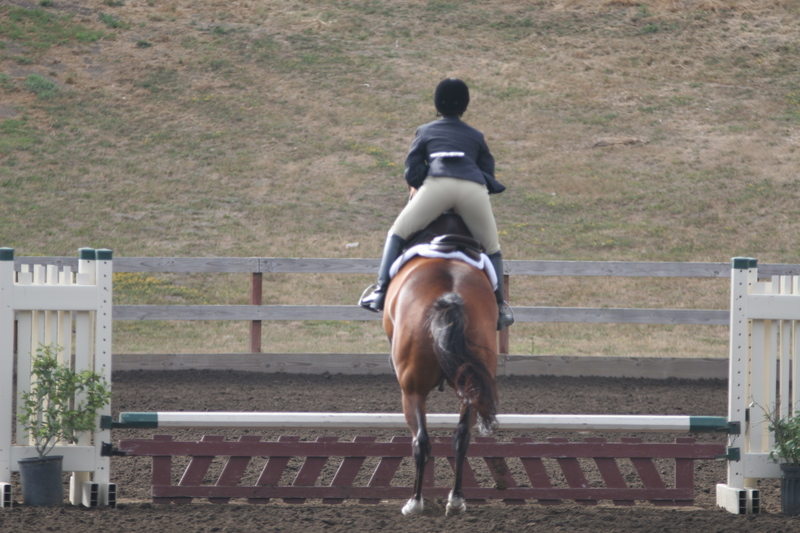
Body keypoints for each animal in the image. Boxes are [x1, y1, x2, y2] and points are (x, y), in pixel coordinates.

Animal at [382, 213, 499, 516]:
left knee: (421, 441)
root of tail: (450, 296)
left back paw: (414, 502)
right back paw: (456, 500)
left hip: (412, 391)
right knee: (461, 437)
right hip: (472, 383)